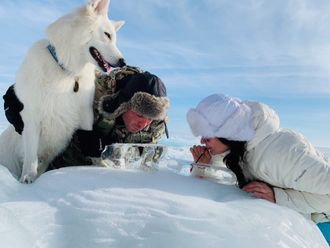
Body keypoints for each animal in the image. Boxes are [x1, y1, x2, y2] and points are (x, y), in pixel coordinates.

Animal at [0, 0, 125, 182]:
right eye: (107, 35)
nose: (123, 62)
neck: (66, 70)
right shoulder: (31, 117)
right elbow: (31, 155)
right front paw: (28, 177)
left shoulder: (85, 113)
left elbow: (91, 142)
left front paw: (101, 166)